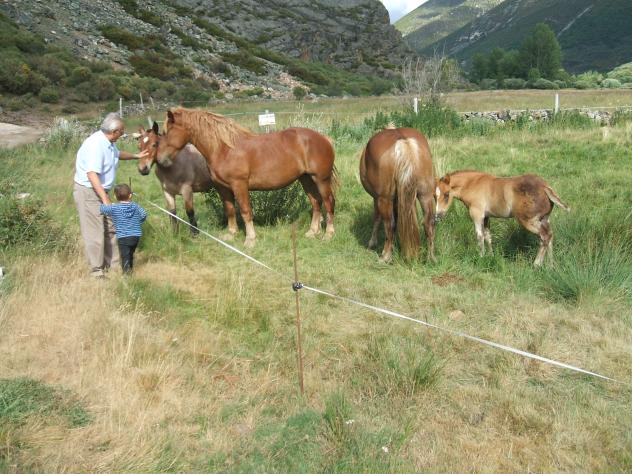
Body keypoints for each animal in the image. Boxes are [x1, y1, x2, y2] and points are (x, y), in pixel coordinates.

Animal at [157, 108, 337, 247]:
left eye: (166, 132)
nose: (160, 159)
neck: (224, 149)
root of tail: (324, 138)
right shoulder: (223, 188)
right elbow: (230, 210)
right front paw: (231, 234)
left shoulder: (239, 185)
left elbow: (245, 211)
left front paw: (250, 239)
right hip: (305, 179)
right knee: (316, 202)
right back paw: (312, 232)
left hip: (321, 179)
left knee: (328, 203)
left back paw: (328, 234)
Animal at [359, 127, 436, 263]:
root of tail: (403, 141)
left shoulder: (377, 198)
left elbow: (377, 218)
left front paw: (372, 242)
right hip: (425, 195)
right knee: (429, 223)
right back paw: (430, 258)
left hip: (384, 199)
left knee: (389, 224)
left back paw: (385, 256)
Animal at [434, 170, 570, 266]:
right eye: (434, 196)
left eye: (446, 194)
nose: (438, 216)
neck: (472, 184)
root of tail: (544, 187)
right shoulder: (486, 217)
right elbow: (488, 236)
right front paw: (491, 256)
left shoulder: (477, 214)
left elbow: (479, 236)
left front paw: (481, 258)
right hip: (544, 219)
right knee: (549, 236)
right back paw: (550, 264)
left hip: (528, 221)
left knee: (545, 236)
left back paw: (536, 264)